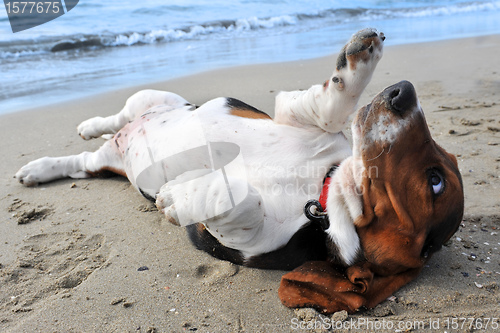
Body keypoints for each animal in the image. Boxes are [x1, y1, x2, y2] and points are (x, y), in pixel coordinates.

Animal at [16, 27, 464, 312]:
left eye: (436, 180)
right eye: (440, 166)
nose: (404, 92)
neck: (318, 193)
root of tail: (118, 145)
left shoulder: (239, 240)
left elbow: (244, 202)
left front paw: (179, 195)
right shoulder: (300, 118)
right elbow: (332, 104)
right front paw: (362, 55)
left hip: (109, 156)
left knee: (82, 165)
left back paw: (42, 168)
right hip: (150, 98)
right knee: (116, 119)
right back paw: (86, 129)